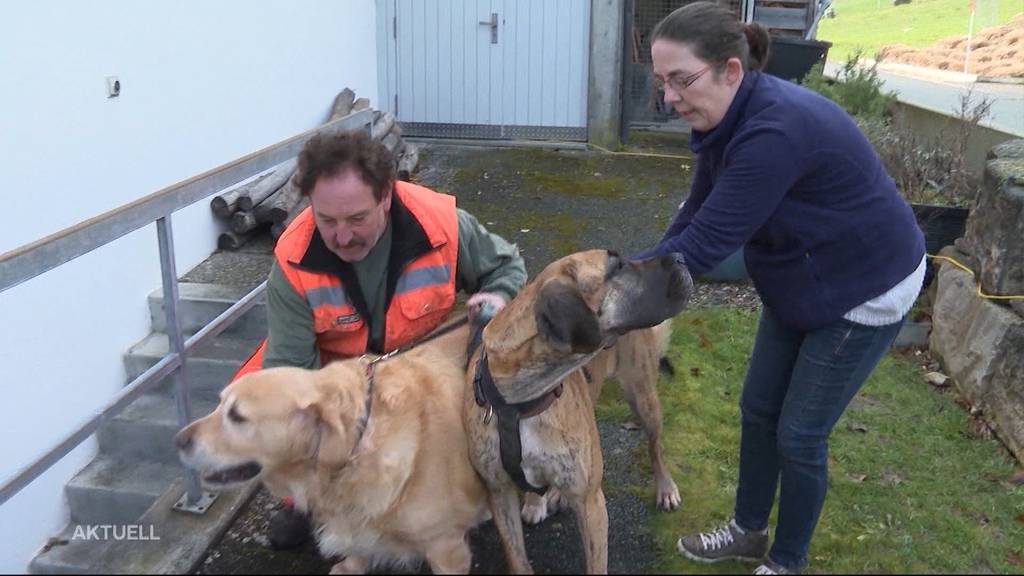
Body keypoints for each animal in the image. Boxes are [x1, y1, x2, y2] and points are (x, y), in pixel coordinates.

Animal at [466, 249, 696, 569]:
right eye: (618, 266)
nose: (679, 256)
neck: (522, 401)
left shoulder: (591, 503)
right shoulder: (499, 494)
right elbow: (518, 560)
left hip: (643, 396)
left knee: (655, 446)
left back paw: (665, 487)